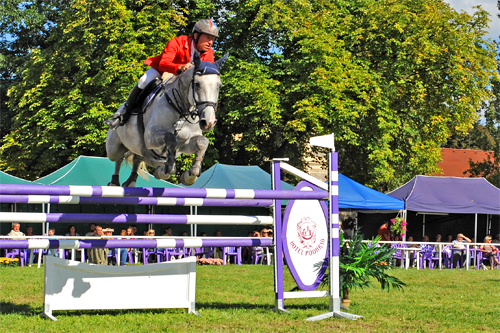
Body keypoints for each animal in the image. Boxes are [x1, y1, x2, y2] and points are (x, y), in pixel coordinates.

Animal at [107, 52, 229, 187]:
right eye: (197, 84)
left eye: (219, 86)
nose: (209, 122)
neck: (182, 112)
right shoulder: (150, 136)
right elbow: (171, 139)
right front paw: (168, 169)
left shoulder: (185, 144)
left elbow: (202, 142)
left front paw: (190, 175)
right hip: (114, 147)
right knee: (118, 158)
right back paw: (114, 182)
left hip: (144, 153)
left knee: (137, 158)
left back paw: (132, 181)